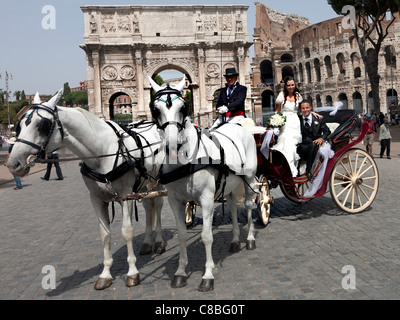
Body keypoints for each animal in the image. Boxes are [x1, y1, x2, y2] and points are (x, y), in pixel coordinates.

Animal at [7, 89, 167, 290]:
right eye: (19, 126)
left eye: (42, 125)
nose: (13, 164)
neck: (101, 152)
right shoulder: (97, 198)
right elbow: (105, 235)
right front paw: (105, 274)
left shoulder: (125, 195)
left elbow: (127, 232)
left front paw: (132, 272)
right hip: (145, 184)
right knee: (148, 206)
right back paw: (146, 243)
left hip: (158, 182)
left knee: (158, 206)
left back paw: (159, 241)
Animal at [148, 76, 258, 292]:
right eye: (155, 109)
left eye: (183, 107)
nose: (172, 146)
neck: (185, 162)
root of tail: (241, 126)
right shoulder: (175, 200)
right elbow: (182, 234)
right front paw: (180, 272)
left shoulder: (206, 199)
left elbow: (207, 236)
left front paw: (207, 275)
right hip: (229, 184)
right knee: (233, 207)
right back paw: (235, 241)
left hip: (249, 178)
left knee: (249, 205)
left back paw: (249, 239)